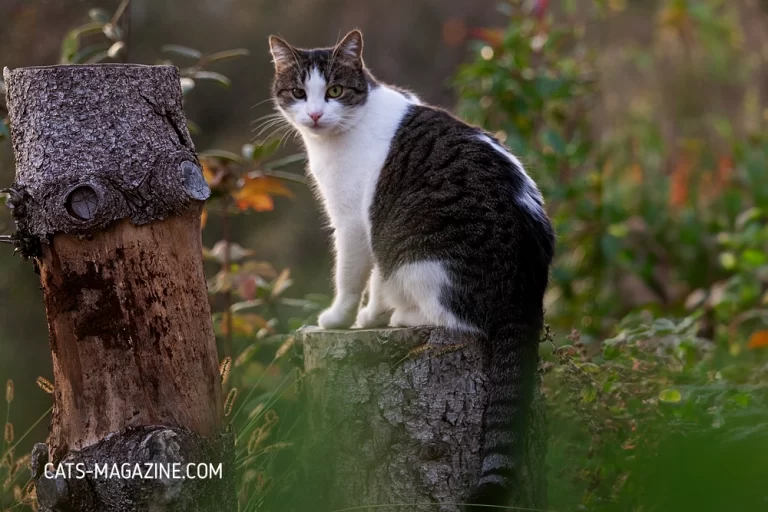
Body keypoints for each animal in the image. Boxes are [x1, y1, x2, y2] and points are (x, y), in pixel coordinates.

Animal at [268, 30, 556, 510]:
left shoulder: (356, 224)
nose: (314, 114)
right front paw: (369, 318)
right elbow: (375, 283)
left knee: (455, 318)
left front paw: (346, 320)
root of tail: (524, 293)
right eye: (298, 92)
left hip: (417, 256)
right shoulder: (371, 232)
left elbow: (354, 280)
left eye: (335, 91)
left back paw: (405, 316)